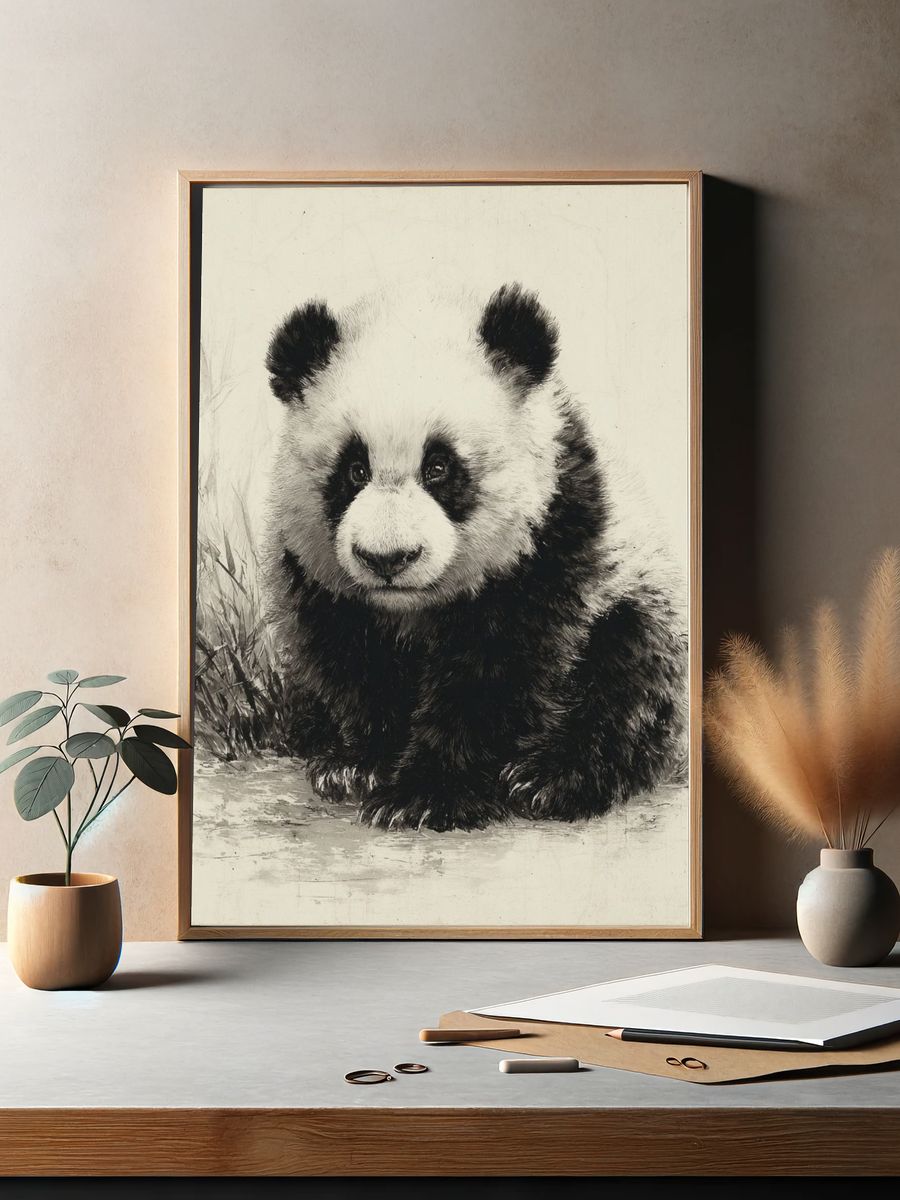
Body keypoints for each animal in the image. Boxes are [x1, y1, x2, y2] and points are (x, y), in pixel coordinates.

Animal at [263, 282, 687, 831]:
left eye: (439, 467)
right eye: (354, 470)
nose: (387, 558)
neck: (412, 607)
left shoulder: (551, 539)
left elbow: (495, 669)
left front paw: (426, 795)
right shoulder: (319, 573)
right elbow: (353, 659)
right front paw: (359, 765)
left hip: (638, 598)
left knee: (627, 682)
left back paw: (554, 778)